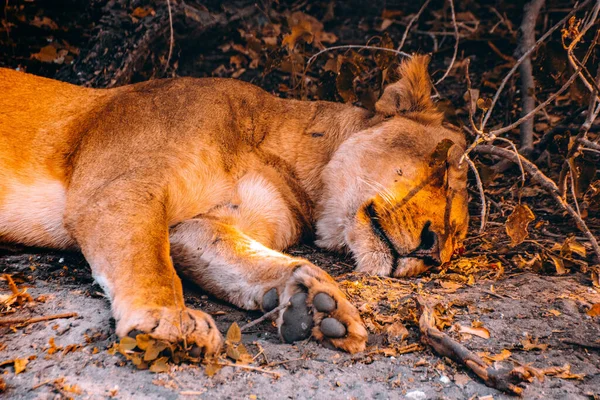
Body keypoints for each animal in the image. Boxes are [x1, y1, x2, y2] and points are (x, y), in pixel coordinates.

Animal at [0, 54, 468, 354]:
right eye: (445, 171)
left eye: (458, 242)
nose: (433, 254)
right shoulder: (116, 187)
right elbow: (146, 258)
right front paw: (169, 321)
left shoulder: (193, 226)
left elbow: (244, 258)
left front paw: (316, 301)